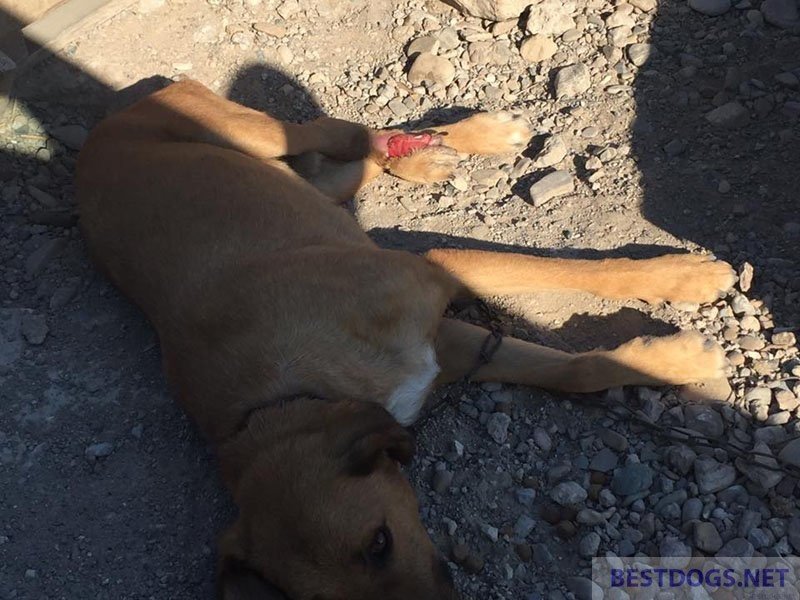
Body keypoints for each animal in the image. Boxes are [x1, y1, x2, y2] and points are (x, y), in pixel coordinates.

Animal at [76, 81, 736, 600]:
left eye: (380, 542)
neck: (285, 398)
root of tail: (98, 133)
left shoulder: (438, 275)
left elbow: (572, 276)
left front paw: (682, 283)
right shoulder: (448, 347)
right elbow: (574, 371)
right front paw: (673, 356)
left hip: (255, 133)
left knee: (339, 132)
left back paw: (473, 136)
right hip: (304, 186)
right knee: (349, 163)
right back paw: (424, 158)